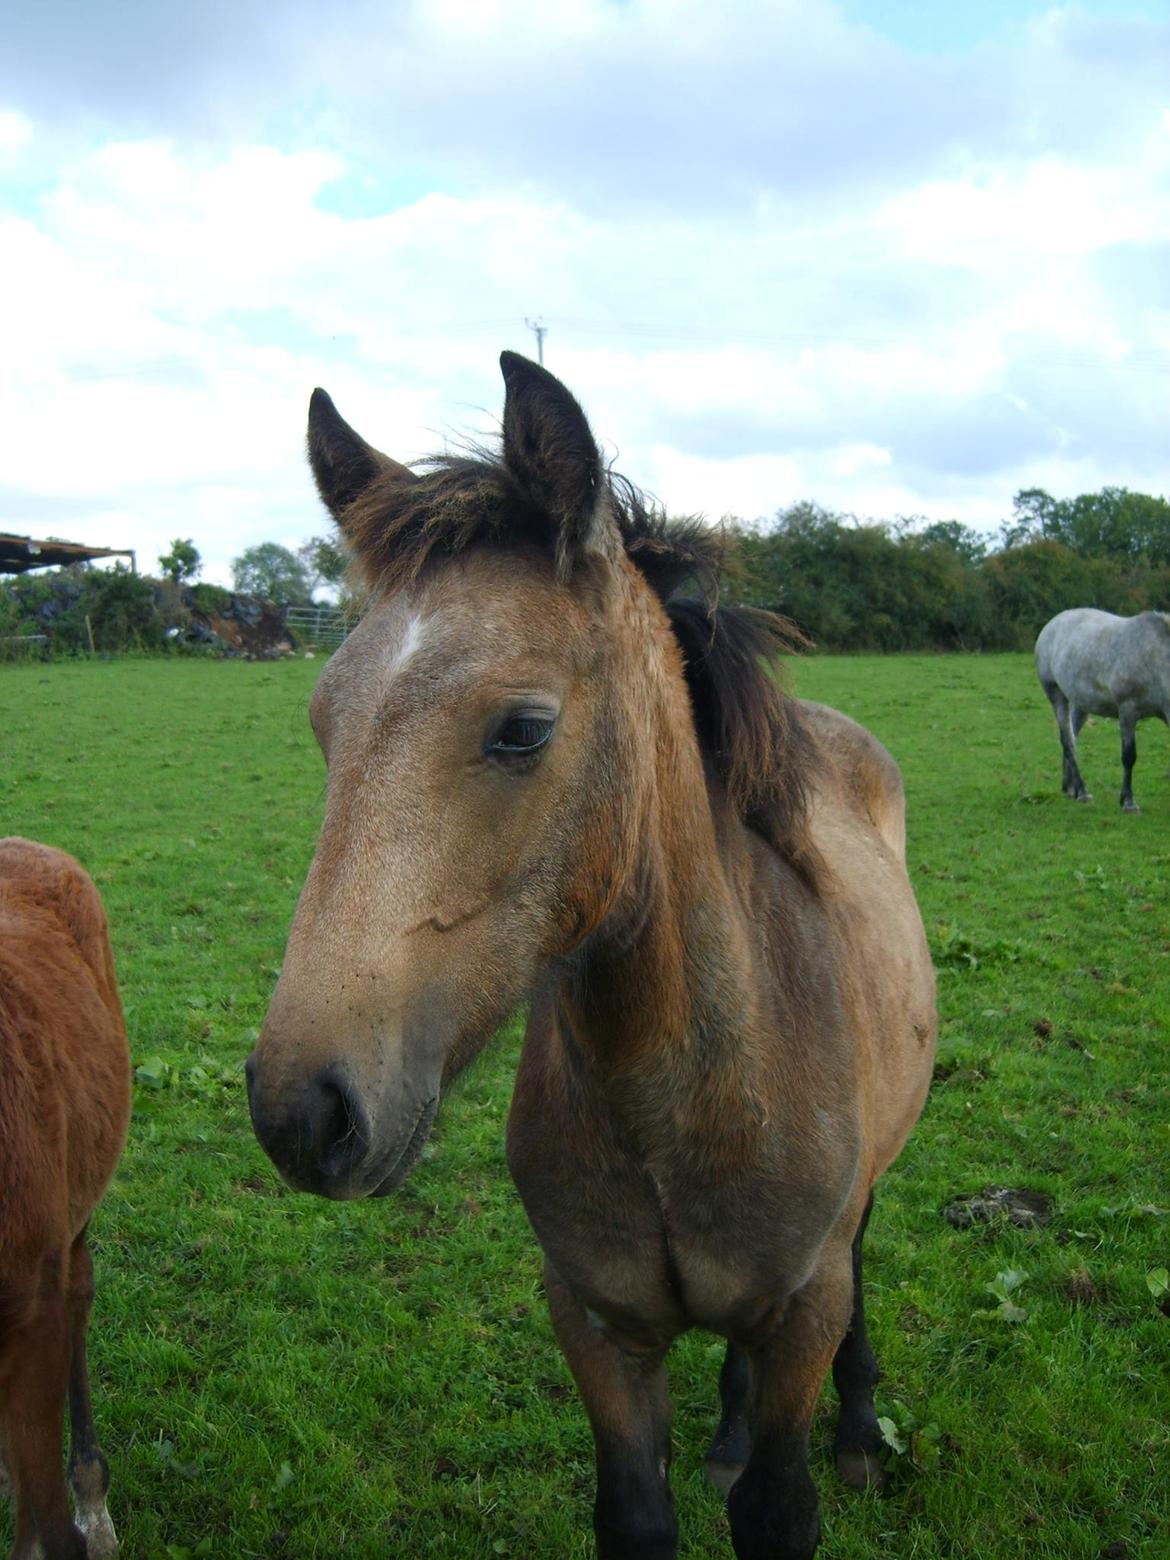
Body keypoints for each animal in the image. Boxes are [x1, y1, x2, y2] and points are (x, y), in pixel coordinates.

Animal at [1035, 605, 1170, 811]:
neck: (1155, 659)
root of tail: (1052, 623)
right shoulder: (1128, 711)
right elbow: (1129, 756)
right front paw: (1128, 802)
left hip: (1081, 703)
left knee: (1072, 739)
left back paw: (1070, 788)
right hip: (1056, 696)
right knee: (1068, 741)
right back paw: (1082, 792)